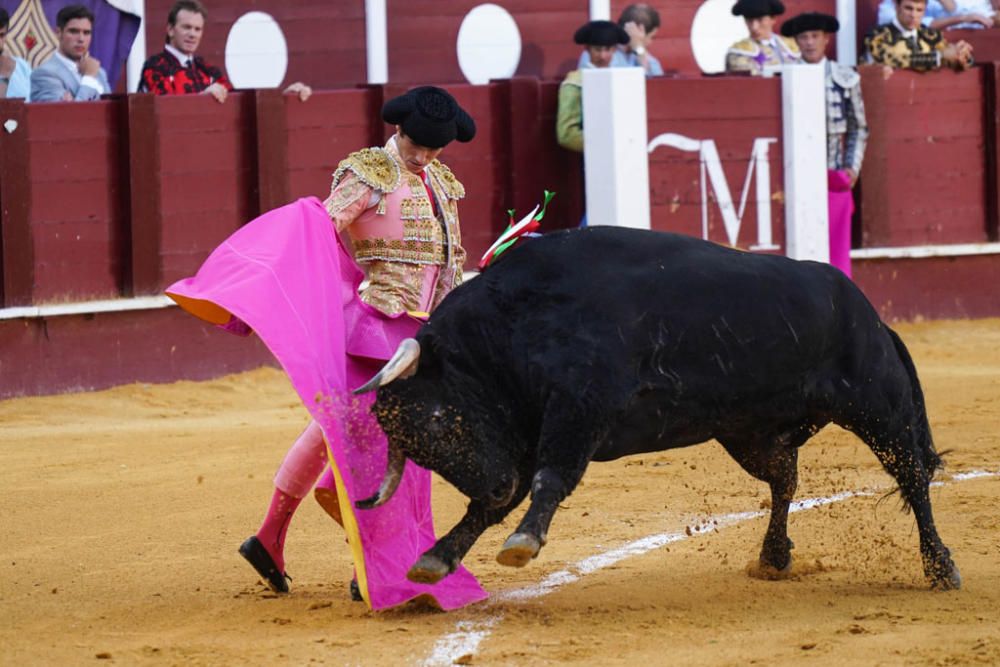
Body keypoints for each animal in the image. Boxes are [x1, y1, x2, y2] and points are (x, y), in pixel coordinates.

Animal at [354, 228, 960, 588]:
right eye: (419, 452)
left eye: (438, 418)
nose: (498, 484)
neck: (515, 322)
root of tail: (866, 308)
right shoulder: (520, 434)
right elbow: (490, 508)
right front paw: (438, 557)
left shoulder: (578, 410)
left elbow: (549, 480)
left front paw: (521, 544)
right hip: (749, 432)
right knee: (785, 480)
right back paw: (773, 556)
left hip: (877, 405)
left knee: (911, 475)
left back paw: (939, 566)